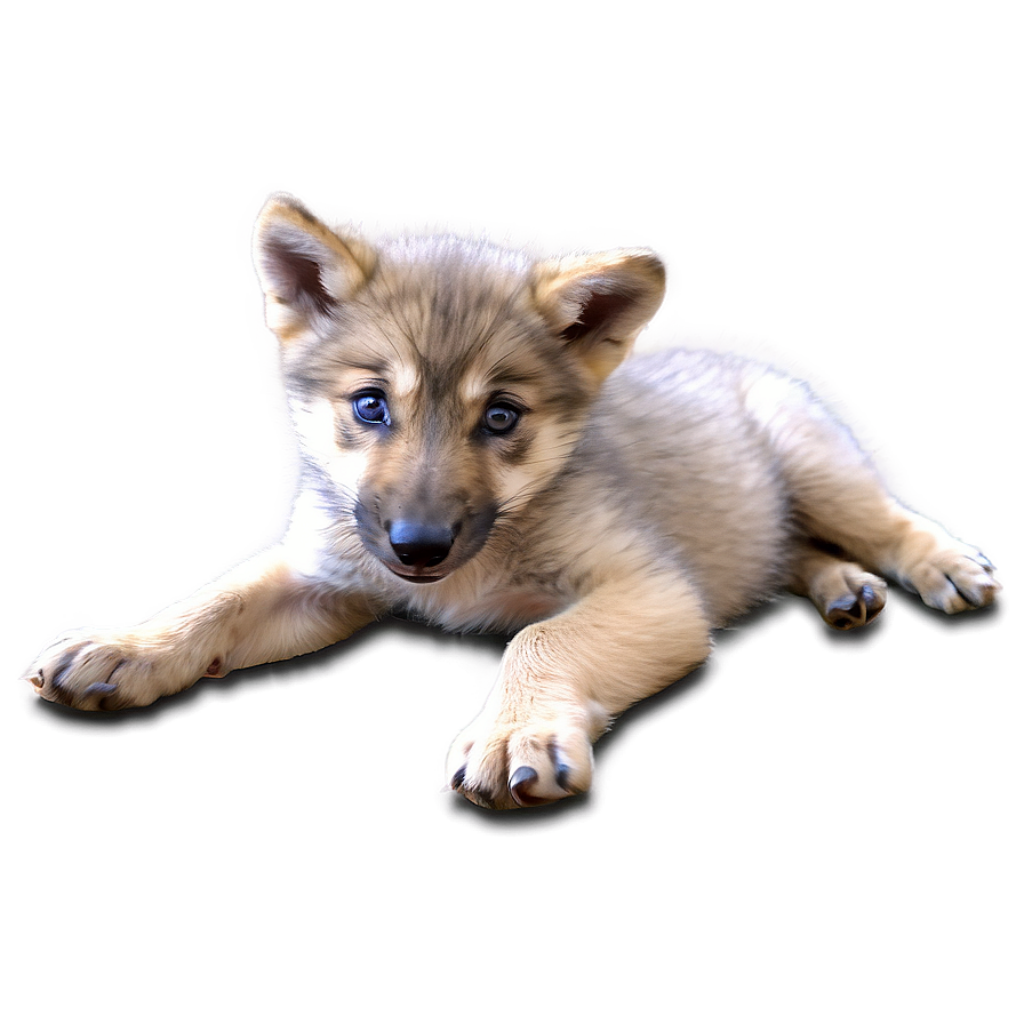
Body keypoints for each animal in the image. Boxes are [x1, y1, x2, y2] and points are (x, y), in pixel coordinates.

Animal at [20, 193, 1005, 810]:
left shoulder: (651, 592)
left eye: (501, 417)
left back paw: (941, 568)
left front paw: (510, 733)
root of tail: (751, 343)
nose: (417, 547)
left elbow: (541, 639)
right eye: (370, 406)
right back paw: (842, 587)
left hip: (816, 463)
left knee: (892, 519)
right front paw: (125, 646)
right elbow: (217, 600)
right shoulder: (325, 580)